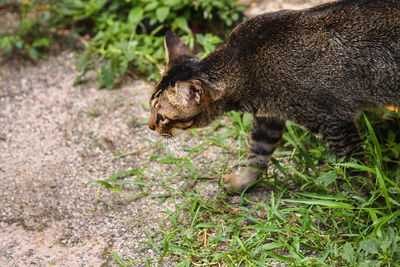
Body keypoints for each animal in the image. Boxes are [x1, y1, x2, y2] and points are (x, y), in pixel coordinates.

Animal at [148, 0, 400, 193]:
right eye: (150, 107)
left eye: (162, 117)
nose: (149, 126)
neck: (243, 68)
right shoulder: (269, 117)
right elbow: (257, 155)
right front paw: (243, 183)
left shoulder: (334, 122)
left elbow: (355, 168)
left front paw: (363, 202)